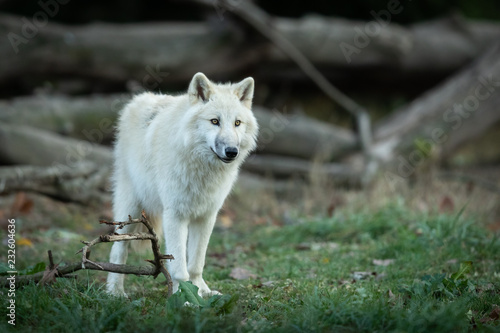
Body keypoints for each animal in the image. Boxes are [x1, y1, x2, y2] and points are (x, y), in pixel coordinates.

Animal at [107, 72, 260, 296]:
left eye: (237, 123)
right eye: (215, 121)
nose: (232, 151)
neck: (202, 169)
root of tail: (141, 98)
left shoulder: (206, 216)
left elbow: (196, 264)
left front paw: (202, 292)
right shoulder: (175, 215)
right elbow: (179, 267)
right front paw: (184, 297)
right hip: (129, 208)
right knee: (118, 249)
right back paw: (114, 291)